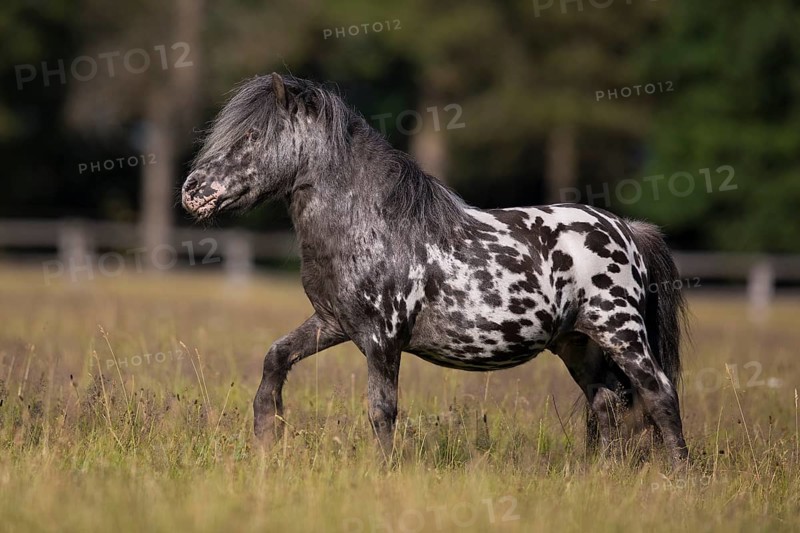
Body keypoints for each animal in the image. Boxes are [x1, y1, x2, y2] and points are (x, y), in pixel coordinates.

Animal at [181, 73, 689, 466]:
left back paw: (678, 477)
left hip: (620, 332)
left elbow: (382, 410)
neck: (374, 225)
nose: (193, 190)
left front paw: (383, 472)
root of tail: (626, 229)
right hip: (576, 343)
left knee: (659, 394)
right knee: (605, 403)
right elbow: (276, 359)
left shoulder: (383, 339)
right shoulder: (332, 323)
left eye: (252, 136)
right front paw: (267, 436)